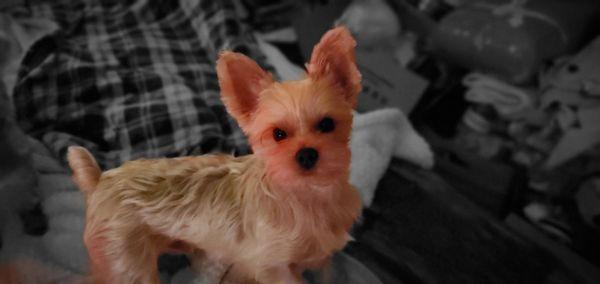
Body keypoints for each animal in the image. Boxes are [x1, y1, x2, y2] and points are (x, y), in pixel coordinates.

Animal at [68, 26, 364, 282]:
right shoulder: (273, 267)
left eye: (327, 124)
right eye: (278, 134)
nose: (307, 154)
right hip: (126, 263)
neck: (307, 195)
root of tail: (98, 180)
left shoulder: (321, 258)